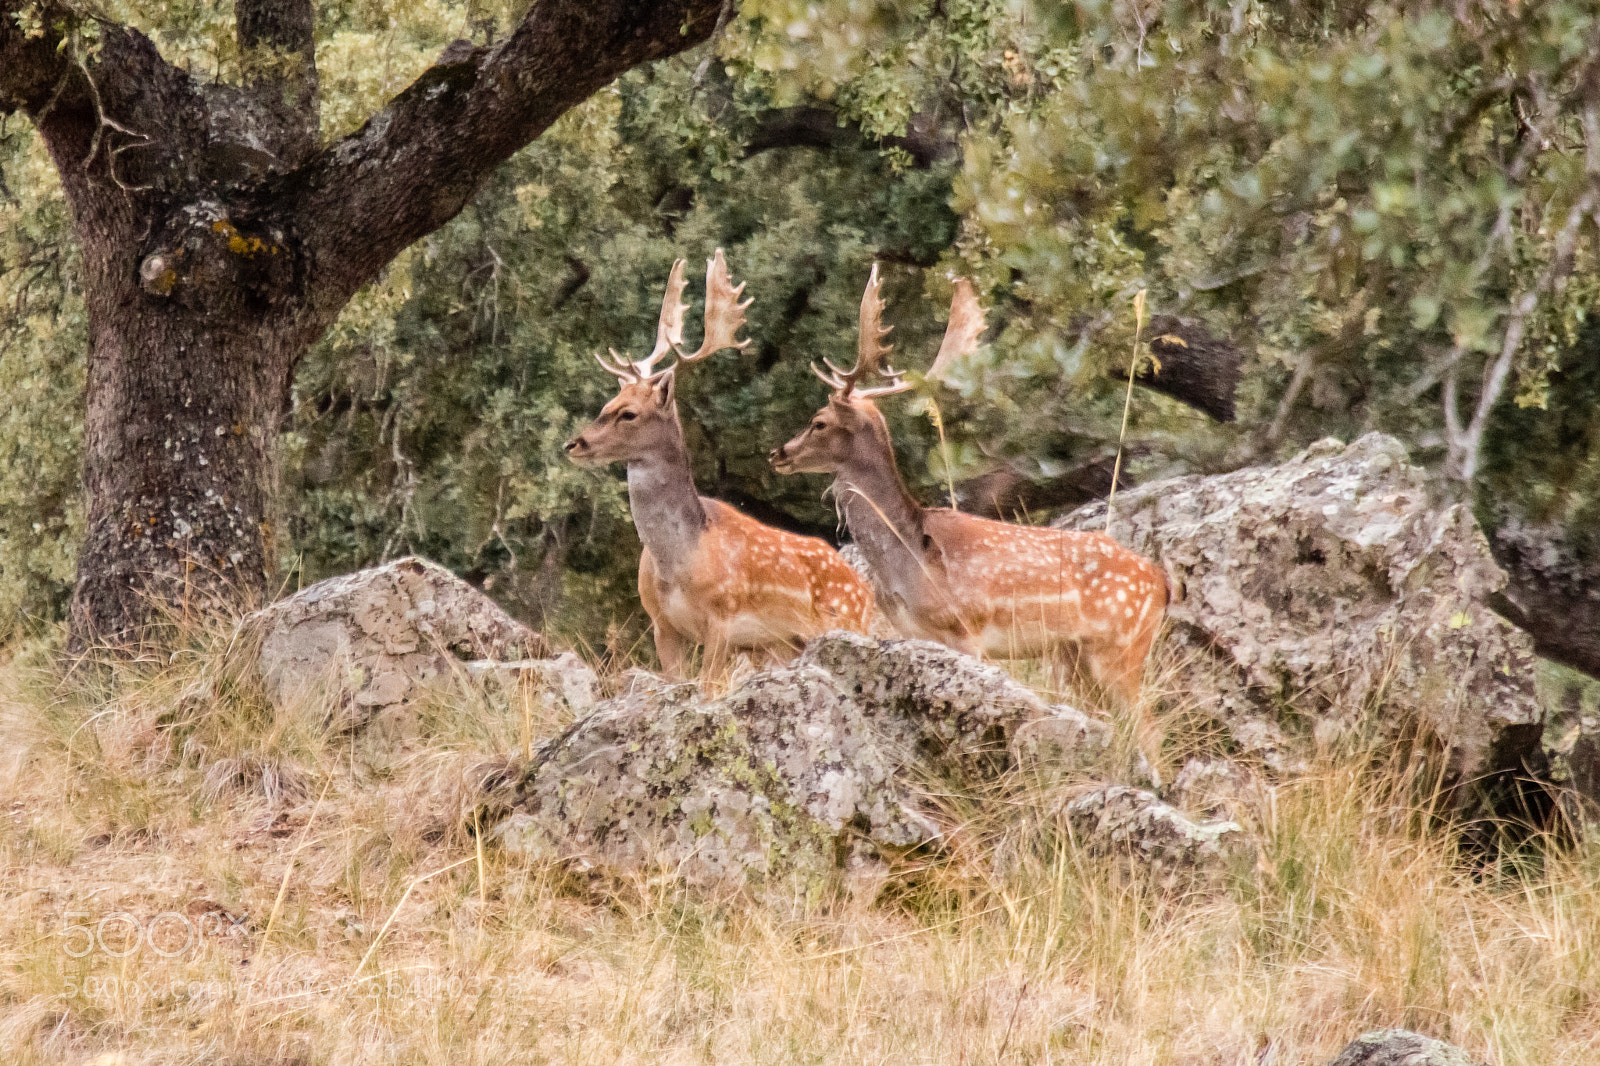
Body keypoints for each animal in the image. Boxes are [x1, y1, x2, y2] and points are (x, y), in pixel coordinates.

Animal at [564, 250, 873, 679]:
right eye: (607, 403)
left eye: (628, 413)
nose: (573, 444)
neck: (678, 562)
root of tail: (867, 592)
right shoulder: (661, 625)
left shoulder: (724, 621)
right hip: (782, 644)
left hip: (842, 622)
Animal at [768, 266, 1168, 708]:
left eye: (819, 422)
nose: (779, 453)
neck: (907, 558)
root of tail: (1162, 584)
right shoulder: (913, 633)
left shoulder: (965, 630)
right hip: (1077, 655)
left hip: (1121, 648)